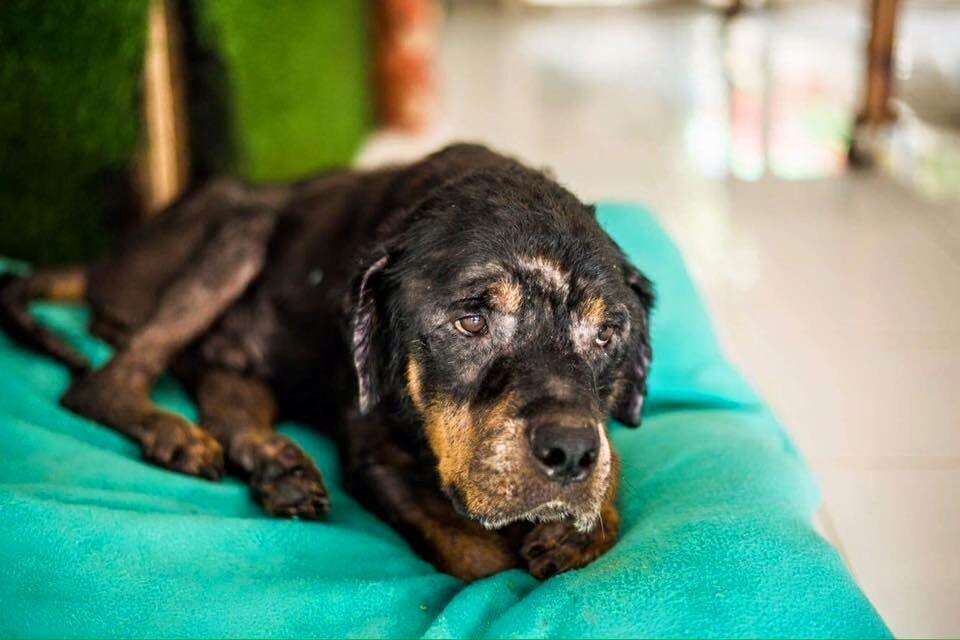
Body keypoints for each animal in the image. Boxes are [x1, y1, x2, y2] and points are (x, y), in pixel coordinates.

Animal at [0, 144, 652, 580]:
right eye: (471, 321)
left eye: (606, 335)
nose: (570, 452)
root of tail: (104, 261)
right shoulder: (373, 456)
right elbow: (481, 564)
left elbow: (614, 465)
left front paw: (578, 529)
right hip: (242, 229)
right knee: (101, 383)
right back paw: (175, 433)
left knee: (222, 392)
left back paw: (276, 465)